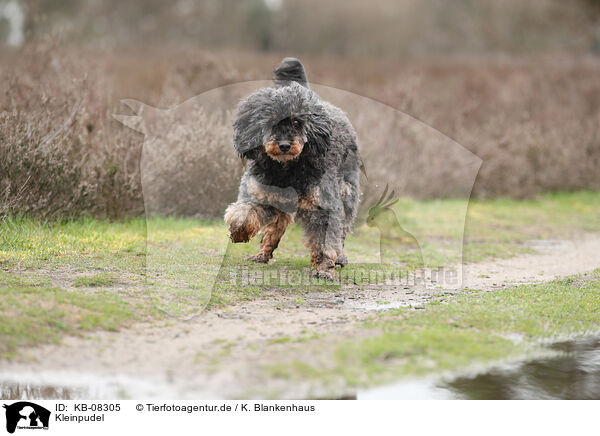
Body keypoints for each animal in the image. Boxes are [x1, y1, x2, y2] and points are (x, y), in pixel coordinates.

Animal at [223, 57, 358, 280]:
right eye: (271, 121)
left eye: (296, 122)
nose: (285, 145)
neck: (287, 169)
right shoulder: (261, 195)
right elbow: (243, 212)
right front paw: (239, 231)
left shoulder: (322, 205)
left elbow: (324, 240)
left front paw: (324, 268)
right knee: (273, 231)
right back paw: (262, 254)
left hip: (347, 192)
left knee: (342, 229)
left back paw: (340, 257)